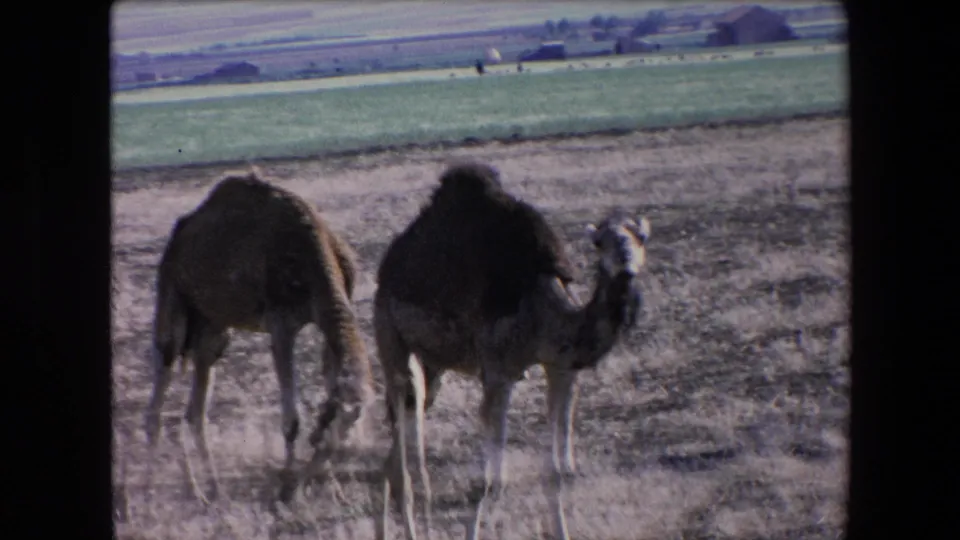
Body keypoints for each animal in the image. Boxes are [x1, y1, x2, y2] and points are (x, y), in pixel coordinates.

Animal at [143, 169, 373, 504]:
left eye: (340, 436)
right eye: (322, 435)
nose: (305, 481)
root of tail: (180, 233)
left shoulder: (328, 317)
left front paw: (334, 489)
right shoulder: (281, 324)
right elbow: (292, 420)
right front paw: (287, 486)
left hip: (213, 327)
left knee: (195, 408)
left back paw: (209, 489)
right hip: (172, 296)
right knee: (163, 369)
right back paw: (155, 488)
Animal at [372, 162, 651, 540]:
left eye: (640, 237)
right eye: (599, 242)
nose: (625, 261)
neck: (542, 308)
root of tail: (387, 267)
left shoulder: (562, 369)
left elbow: (559, 472)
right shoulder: (497, 373)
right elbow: (490, 483)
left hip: (432, 364)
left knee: (398, 436)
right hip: (389, 337)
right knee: (401, 441)